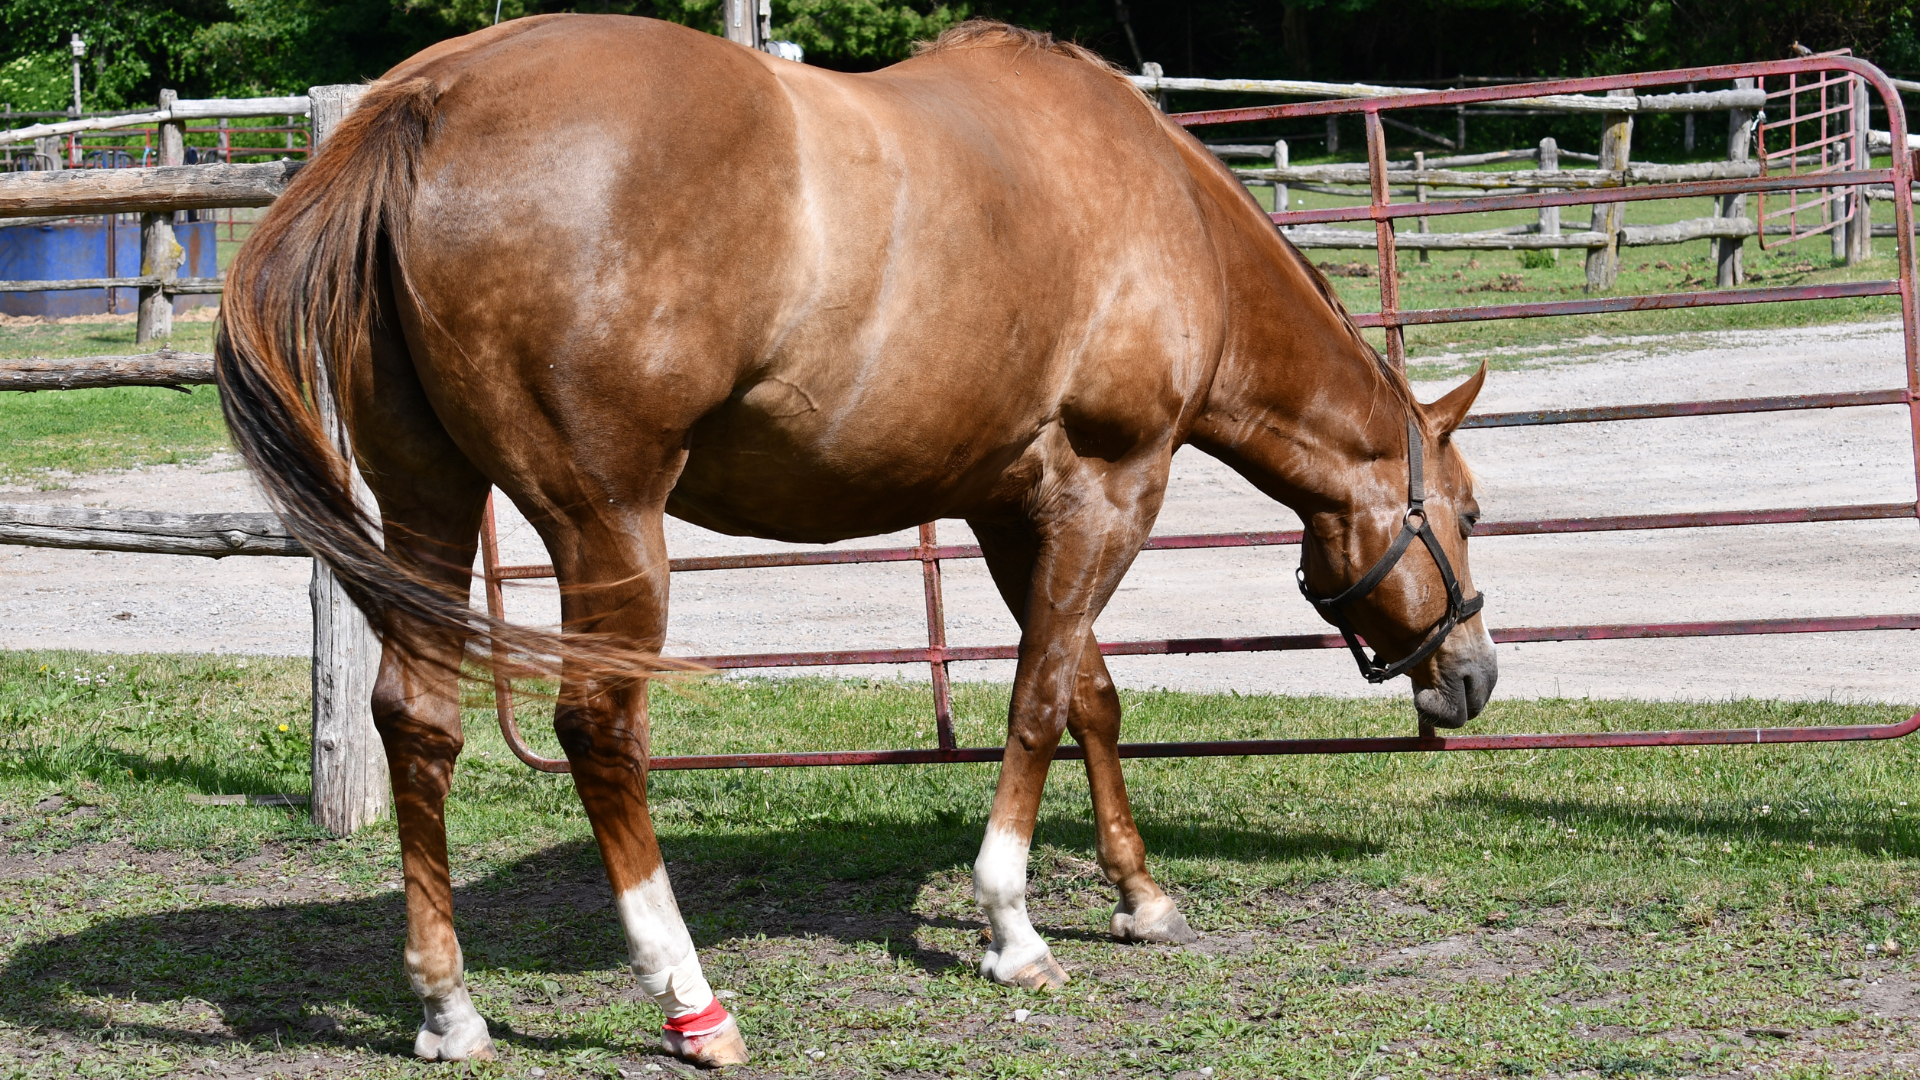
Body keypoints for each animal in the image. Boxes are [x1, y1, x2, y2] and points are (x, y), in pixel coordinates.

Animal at [214, 14, 1497, 1060]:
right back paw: (691, 1001)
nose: (1476, 677)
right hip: (604, 523)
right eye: (1472, 515)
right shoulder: (1108, 492)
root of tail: (426, 103)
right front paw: (1012, 927)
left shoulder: (1007, 509)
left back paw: (450, 1007)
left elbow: (1087, 692)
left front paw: (1139, 896)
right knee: (598, 725)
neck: (1163, 212)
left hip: (425, 499)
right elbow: (1039, 700)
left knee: (416, 720)